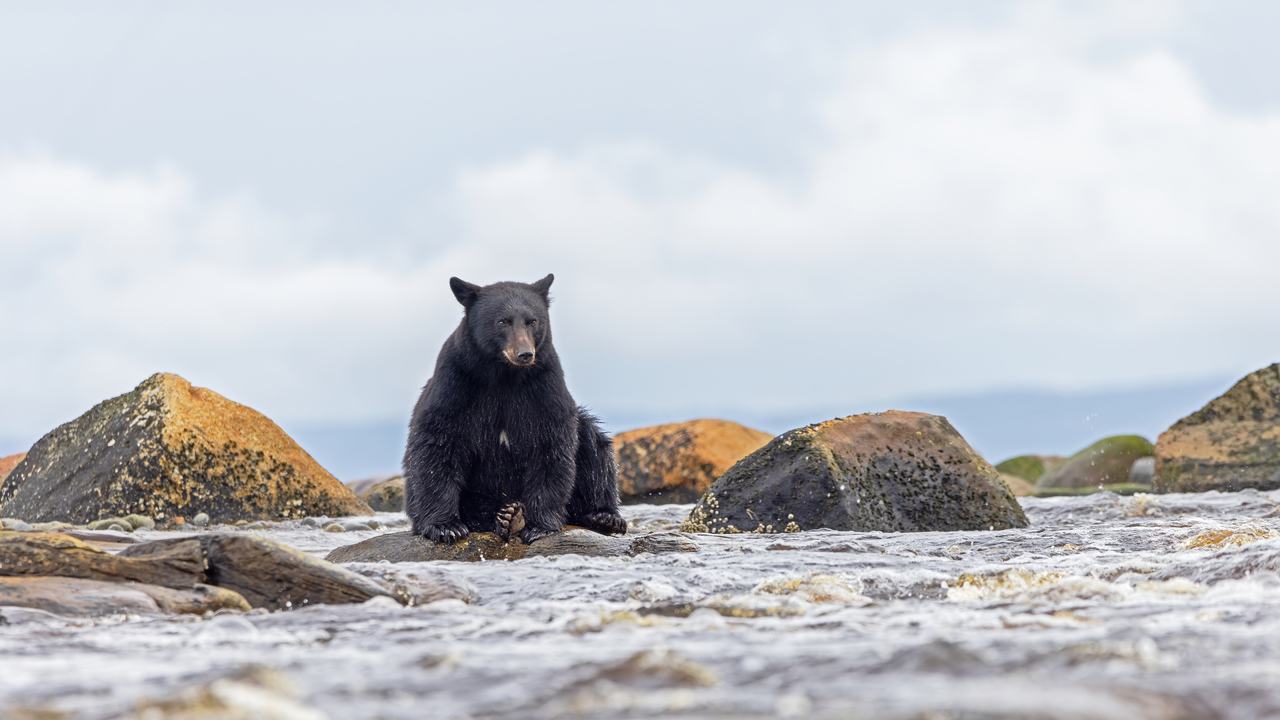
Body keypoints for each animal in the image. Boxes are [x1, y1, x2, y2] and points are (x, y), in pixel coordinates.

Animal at [403, 273, 628, 544]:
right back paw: (505, 517)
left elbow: (552, 445)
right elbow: (437, 442)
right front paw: (445, 526)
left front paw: (539, 525)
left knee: (594, 446)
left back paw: (603, 516)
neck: (504, 375)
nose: (524, 354)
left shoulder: (544, 386)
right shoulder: (455, 383)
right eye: (502, 321)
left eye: (533, 321)